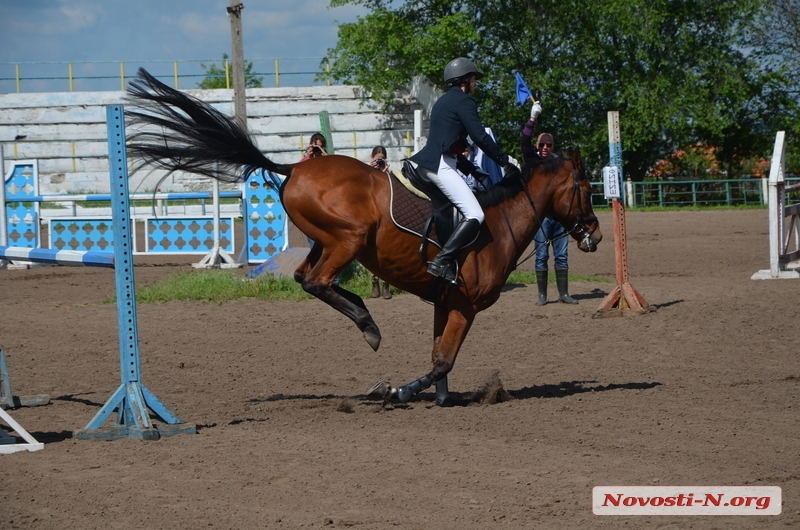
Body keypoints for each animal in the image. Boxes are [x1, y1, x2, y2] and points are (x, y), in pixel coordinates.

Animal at [125, 69, 600, 404]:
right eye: (584, 187)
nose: (593, 234)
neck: (498, 221)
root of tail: (295, 167)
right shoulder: (465, 305)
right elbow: (442, 362)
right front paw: (398, 391)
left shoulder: (445, 302)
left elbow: (439, 360)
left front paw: (440, 398)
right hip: (349, 239)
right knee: (318, 282)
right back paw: (368, 324)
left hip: (325, 240)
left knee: (305, 278)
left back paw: (363, 315)